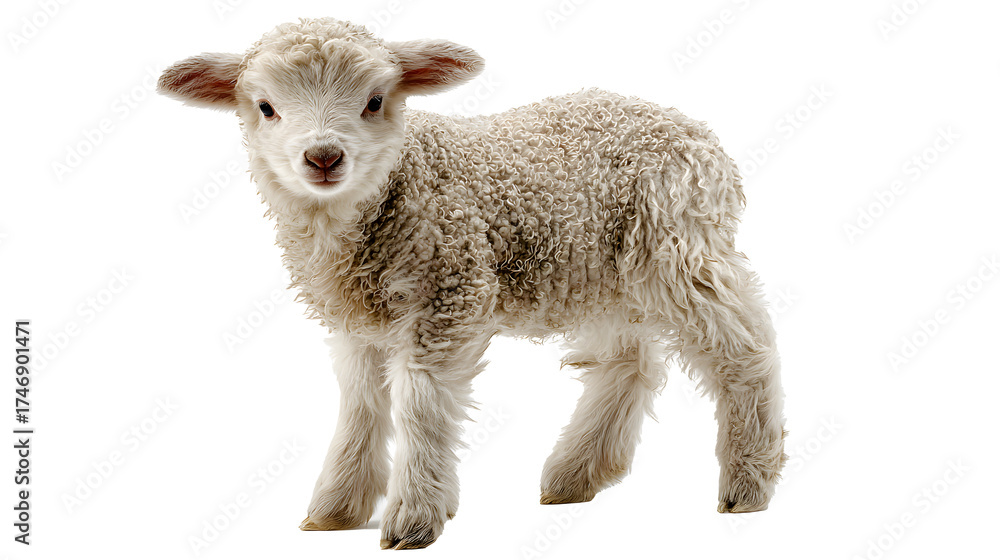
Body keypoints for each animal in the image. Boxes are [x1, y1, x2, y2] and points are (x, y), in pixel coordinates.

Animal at [157, 17, 787, 550]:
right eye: (266, 108)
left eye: (374, 101)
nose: (323, 157)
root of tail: (692, 128)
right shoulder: (357, 319)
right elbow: (360, 405)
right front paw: (337, 507)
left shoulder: (450, 290)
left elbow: (420, 404)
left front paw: (413, 516)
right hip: (598, 270)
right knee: (629, 362)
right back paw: (577, 473)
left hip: (677, 245)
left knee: (745, 345)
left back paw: (749, 480)